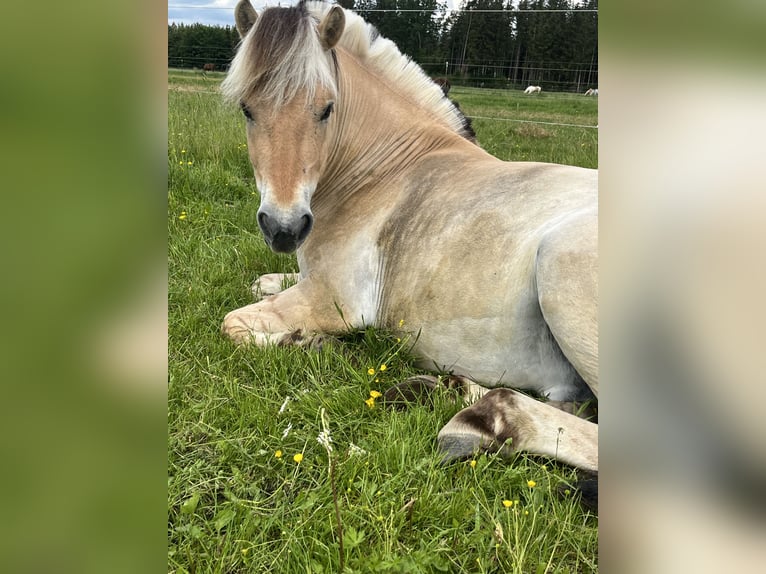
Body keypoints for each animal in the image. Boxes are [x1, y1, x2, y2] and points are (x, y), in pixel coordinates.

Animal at [220, 0, 600, 504]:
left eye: (326, 109)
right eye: (247, 109)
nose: (284, 228)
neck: (384, 172)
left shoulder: (331, 300)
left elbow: (234, 324)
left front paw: (309, 342)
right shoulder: (307, 278)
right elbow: (262, 284)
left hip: (560, 269)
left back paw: (482, 421)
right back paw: (451, 388)